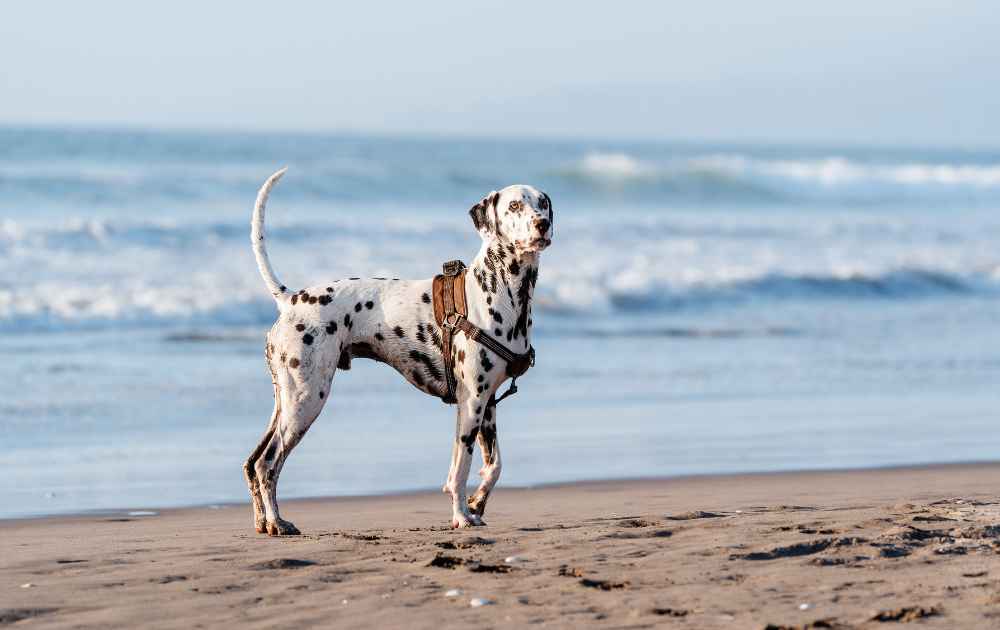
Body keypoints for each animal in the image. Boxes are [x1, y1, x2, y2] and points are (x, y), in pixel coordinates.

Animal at [243, 169, 556, 540]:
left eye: (543, 203)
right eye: (514, 205)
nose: (542, 224)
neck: (499, 293)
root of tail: (291, 299)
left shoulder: (488, 404)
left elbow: (494, 466)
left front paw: (477, 504)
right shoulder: (471, 404)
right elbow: (460, 470)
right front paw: (461, 516)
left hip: (286, 402)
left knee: (252, 463)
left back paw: (263, 521)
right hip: (306, 401)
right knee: (268, 463)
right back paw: (277, 521)